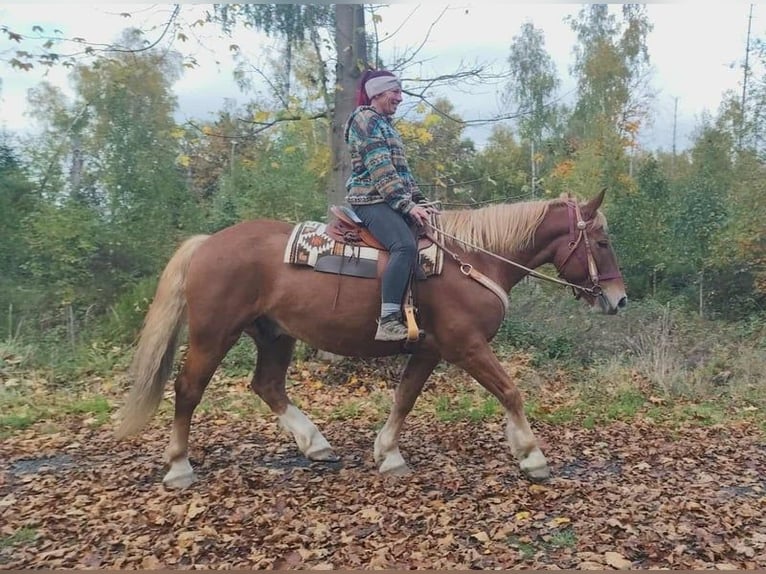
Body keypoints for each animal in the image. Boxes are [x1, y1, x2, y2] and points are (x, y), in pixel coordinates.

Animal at [116, 190, 627, 489]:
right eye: (602, 242)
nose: (619, 300)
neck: (472, 259)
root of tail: (207, 243)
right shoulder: (465, 345)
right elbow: (510, 390)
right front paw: (531, 455)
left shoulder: (429, 349)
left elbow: (404, 398)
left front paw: (388, 454)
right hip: (213, 333)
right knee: (188, 389)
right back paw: (179, 466)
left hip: (275, 334)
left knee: (267, 385)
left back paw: (315, 444)